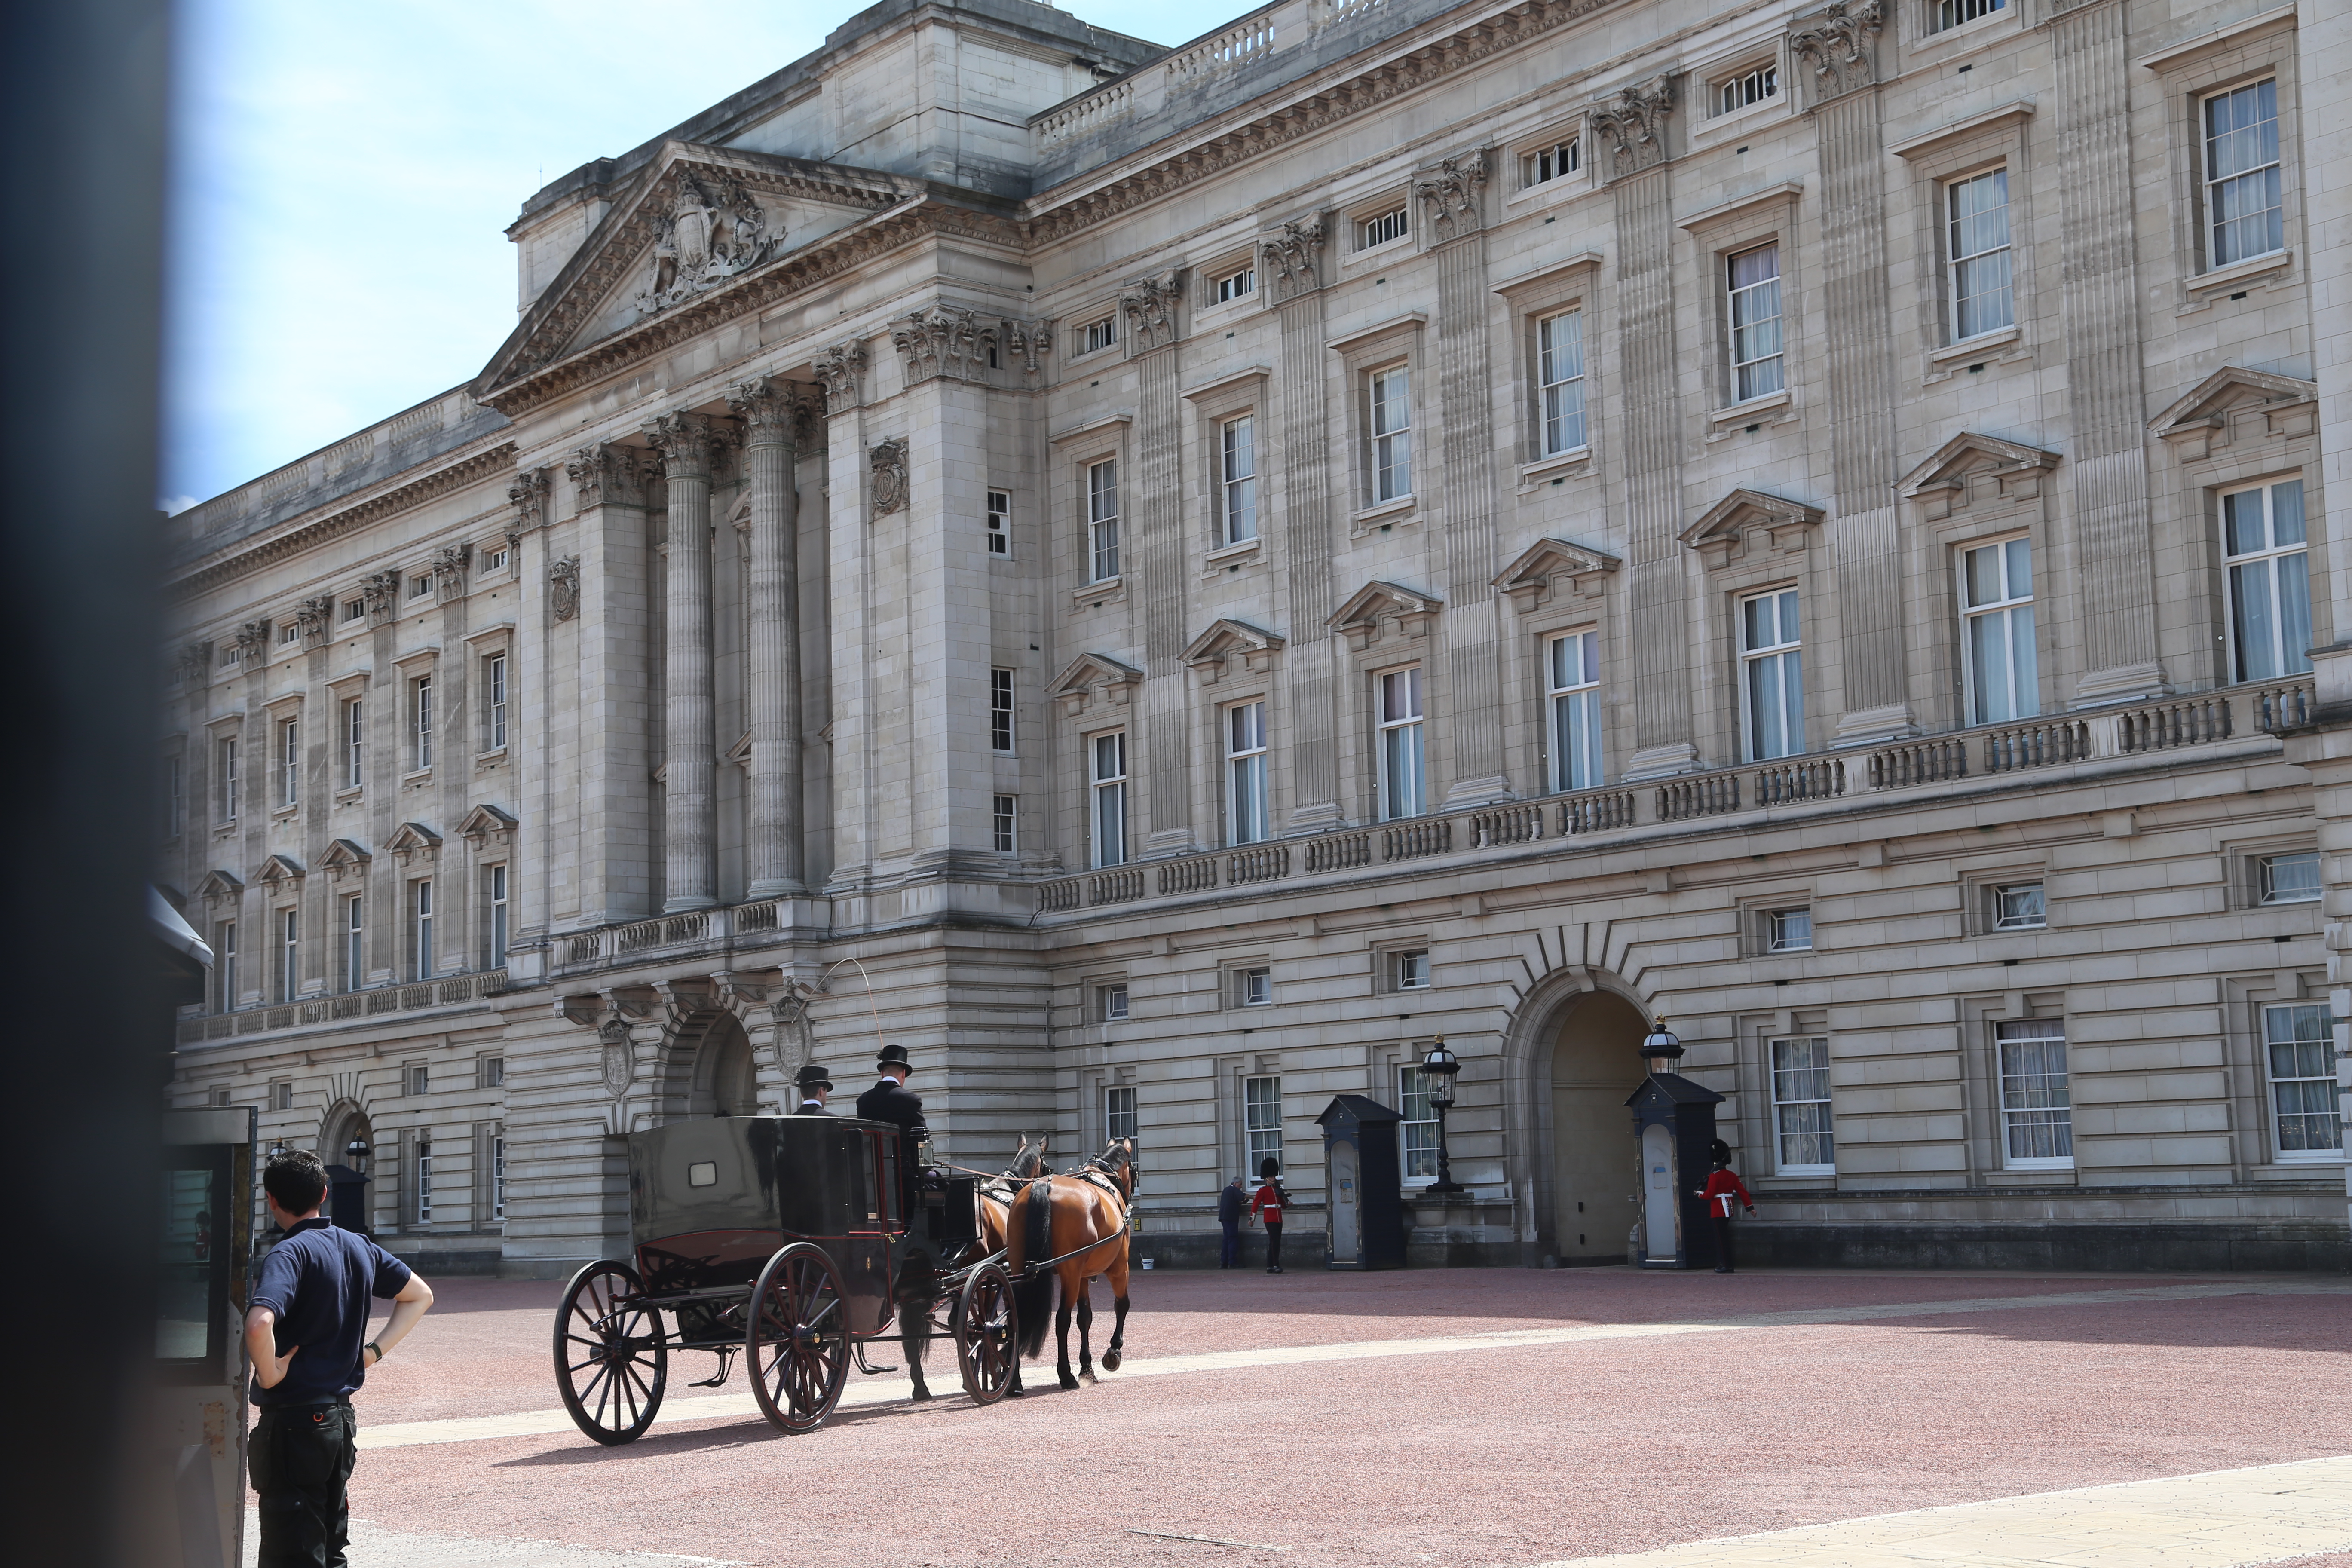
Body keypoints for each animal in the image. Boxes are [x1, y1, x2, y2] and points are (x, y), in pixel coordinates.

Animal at [1002, 1142, 1129, 1401]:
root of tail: (1044, 1184)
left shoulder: (1082, 1277)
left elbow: (1085, 1318)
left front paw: (1087, 1368)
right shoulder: (1119, 1268)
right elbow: (1122, 1305)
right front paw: (1114, 1351)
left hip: (1022, 1270)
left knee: (1016, 1320)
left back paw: (1015, 1381)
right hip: (1071, 1274)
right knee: (1062, 1320)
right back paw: (1066, 1375)